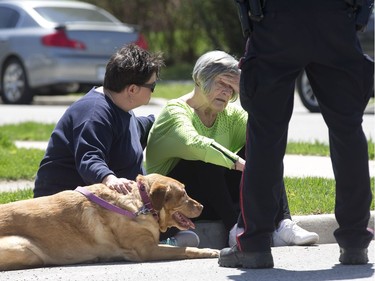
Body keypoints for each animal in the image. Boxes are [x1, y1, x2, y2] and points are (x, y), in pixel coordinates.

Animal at [0, 173, 219, 270]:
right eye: (183, 194)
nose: (202, 207)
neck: (143, 203)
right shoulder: (147, 250)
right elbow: (185, 249)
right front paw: (209, 251)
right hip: (24, 246)